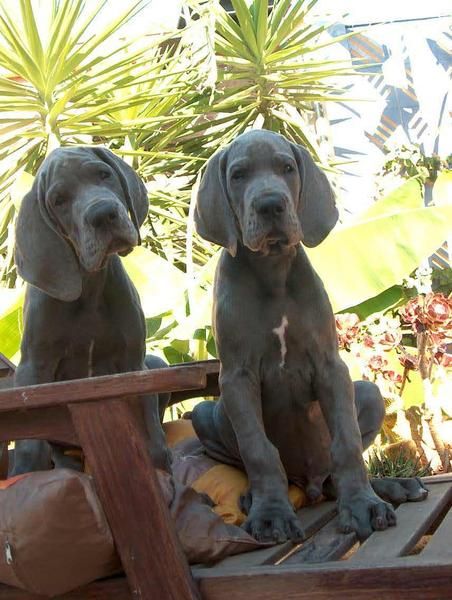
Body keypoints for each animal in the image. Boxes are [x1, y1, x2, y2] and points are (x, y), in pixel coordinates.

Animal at [9, 146, 170, 478]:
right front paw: (24, 473)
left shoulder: (134, 364)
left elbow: (149, 424)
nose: (103, 213)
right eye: (59, 200)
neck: (90, 287)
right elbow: (31, 444)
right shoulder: (33, 368)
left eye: (104, 174)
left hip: (156, 361)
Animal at [191, 130, 428, 544]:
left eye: (287, 167)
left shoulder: (330, 365)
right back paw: (253, 497)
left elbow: (347, 443)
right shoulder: (236, 378)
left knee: (336, 469)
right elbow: (258, 449)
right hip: (205, 413)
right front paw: (270, 514)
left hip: (368, 391)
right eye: (238, 175)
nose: (270, 205)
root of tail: (311, 484)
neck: (272, 271)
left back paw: (394, 487)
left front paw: (363, 506)